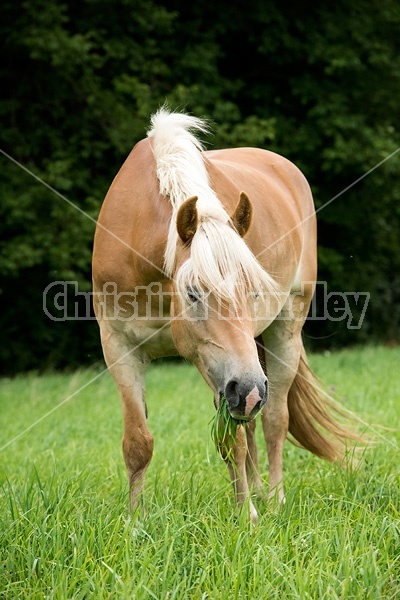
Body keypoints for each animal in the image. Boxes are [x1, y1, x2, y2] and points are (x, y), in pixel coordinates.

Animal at [92, 110, 360, 524]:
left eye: (253, 291)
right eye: (193, 293)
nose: (250, 389)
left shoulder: (222, 368)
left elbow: (233, 440)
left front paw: (247, 515)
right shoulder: (120, 347)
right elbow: (138, 442)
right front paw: (135, 521)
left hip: (279, 341)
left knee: (273, 421)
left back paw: (274, 499)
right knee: (252, 425)